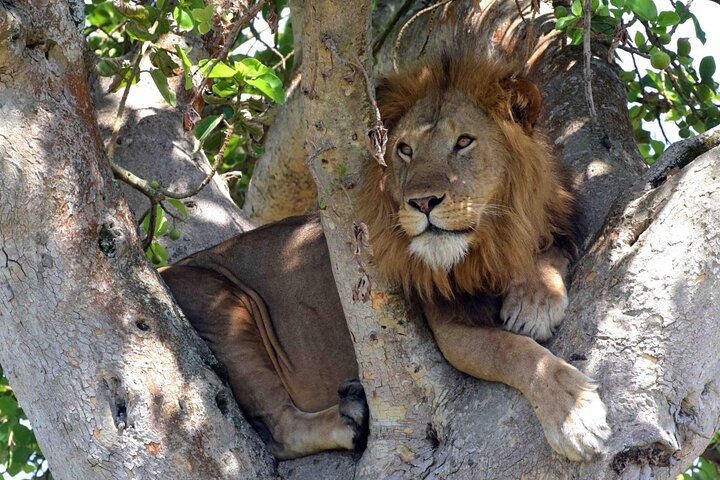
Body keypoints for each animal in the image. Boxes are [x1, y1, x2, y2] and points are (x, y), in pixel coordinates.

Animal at [160, 52, 610, 461]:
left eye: (464, 142)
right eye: (405, 150)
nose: (422, 202)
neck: (488, 243)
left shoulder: (557, 224)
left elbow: (550, 252)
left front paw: (534, 301)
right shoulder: (448, 328)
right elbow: (516, 352)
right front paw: (573, 415)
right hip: (220, 302)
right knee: (278, 430)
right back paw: (351, 419)